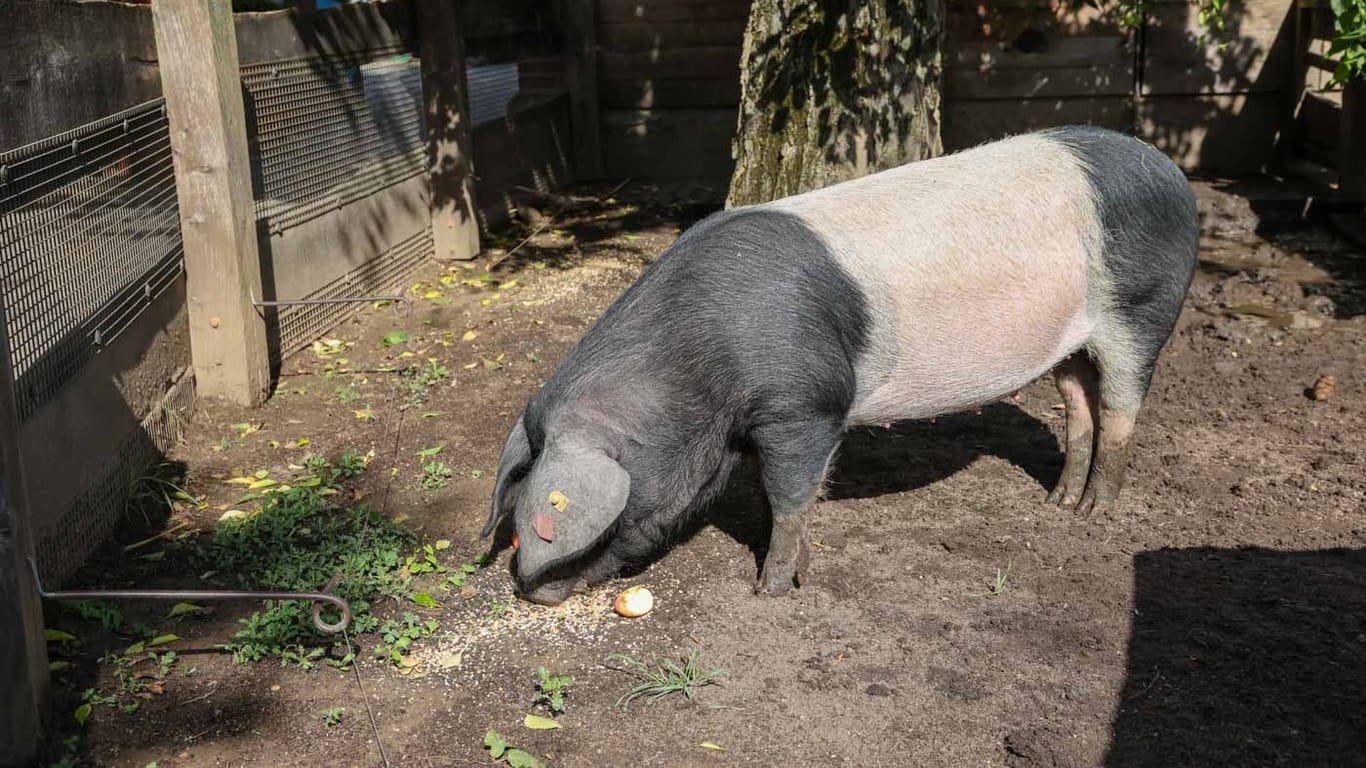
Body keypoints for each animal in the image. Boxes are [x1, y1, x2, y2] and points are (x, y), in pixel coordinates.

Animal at [480, 125, 1196, 604]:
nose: (533, 592)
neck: (694, 375)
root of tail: (1172, 170)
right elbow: (787, 495)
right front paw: (792, 570)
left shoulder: (806, 402)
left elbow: (790, 492)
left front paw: (772, 590)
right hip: (1070, 339)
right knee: (1077, 398)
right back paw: (1058, 501)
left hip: (1143, 306)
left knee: (1122, 402)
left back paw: (1095, 513)